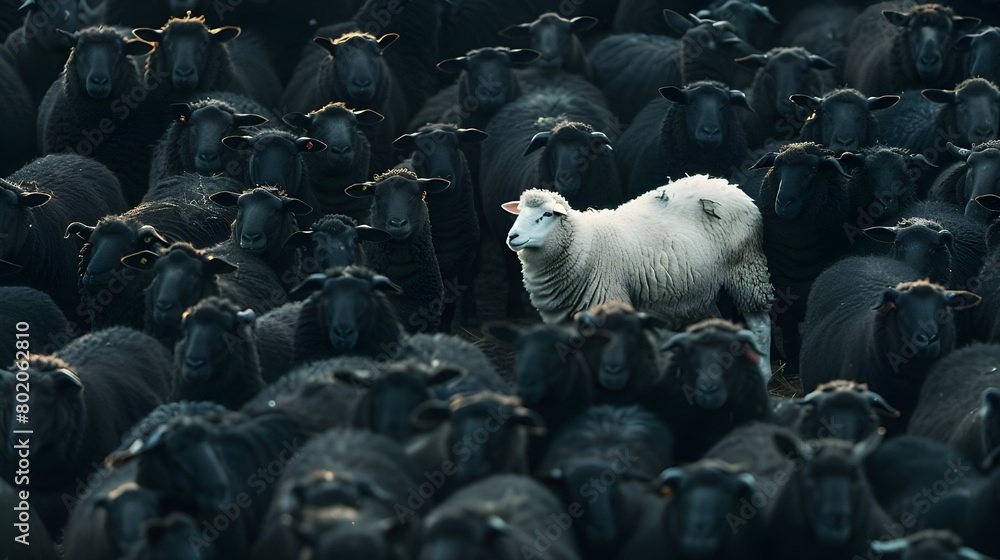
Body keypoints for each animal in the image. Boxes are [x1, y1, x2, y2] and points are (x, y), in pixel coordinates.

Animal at [502, 175, 775, 382]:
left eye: (546, 214)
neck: (585, 243)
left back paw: (764, 372)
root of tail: (727, 185)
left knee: (760, 323)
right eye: (520, 213)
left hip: (746, 266)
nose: (512, 236)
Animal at [744, 142, 855, 376]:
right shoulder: (780, 288)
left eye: (813, 169)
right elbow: (788, 331)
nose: (784, 203)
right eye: (777, 167)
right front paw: (792, 368)